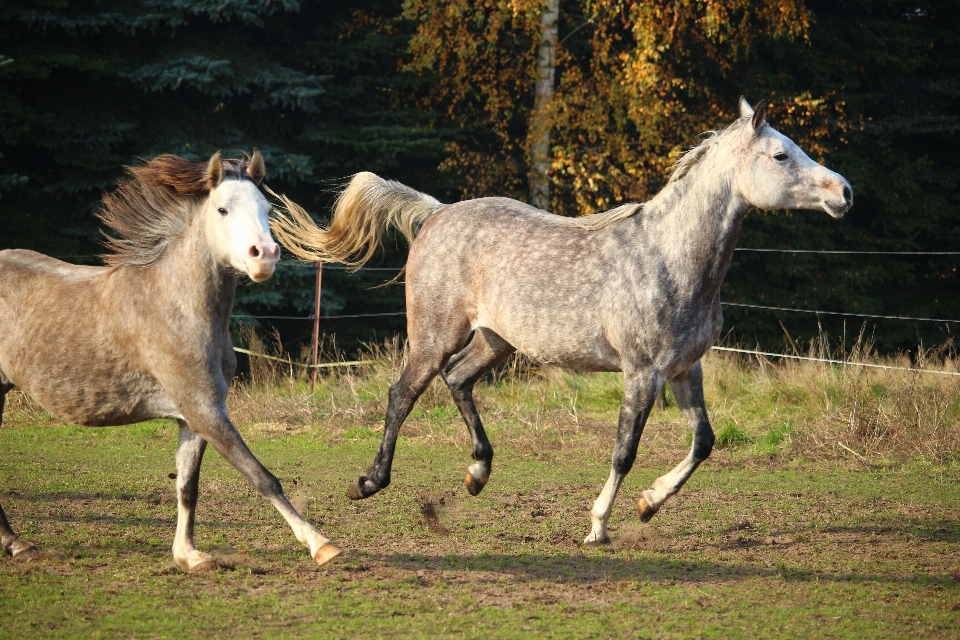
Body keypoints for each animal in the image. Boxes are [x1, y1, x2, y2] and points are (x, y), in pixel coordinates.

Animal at [0, 151, 342, 568]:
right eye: (223, 209)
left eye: (267, 208)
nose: (265, 256)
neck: (180, 308)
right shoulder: (203, 410)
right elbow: (261, 477)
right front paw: (321, 544)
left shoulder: (192, 417)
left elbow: (187, 487)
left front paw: (189, 555)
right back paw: (16, 543)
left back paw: (17, 543)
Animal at [272, 99, 856, 544]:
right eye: (781, 154)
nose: (844, 192)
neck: (670, 258)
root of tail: (437, 212)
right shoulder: (642, 373)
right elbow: (624, 452)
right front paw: (598, 526)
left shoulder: (684, 370)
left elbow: (704, 442)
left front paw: (648, 504)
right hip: (435, 336)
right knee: (403, 395)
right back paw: (369, 482)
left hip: (496, 340)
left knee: (457, 380)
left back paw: (477, 474)